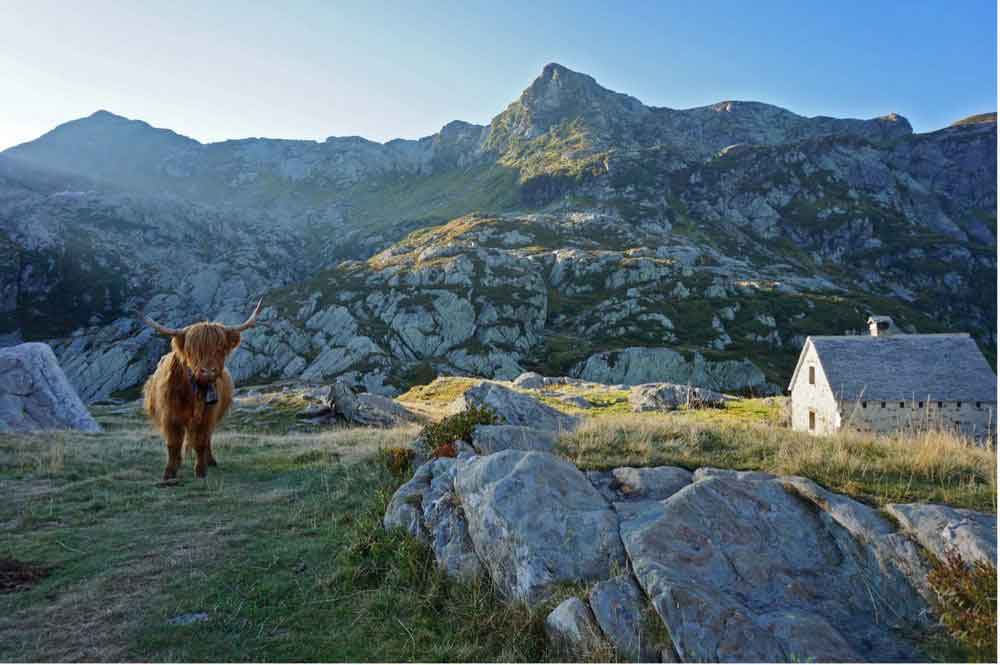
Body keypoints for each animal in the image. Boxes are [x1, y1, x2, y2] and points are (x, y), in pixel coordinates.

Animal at [145, 298, 264, 480]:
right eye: (191, 349)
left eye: (220, 347)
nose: (208, 371)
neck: (192, 392)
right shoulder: (170, 416)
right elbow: (173, 443)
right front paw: (170, 471)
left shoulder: (208, 416)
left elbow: (201, 442)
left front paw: (201, 470)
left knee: (207, 439)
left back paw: (211, 461)